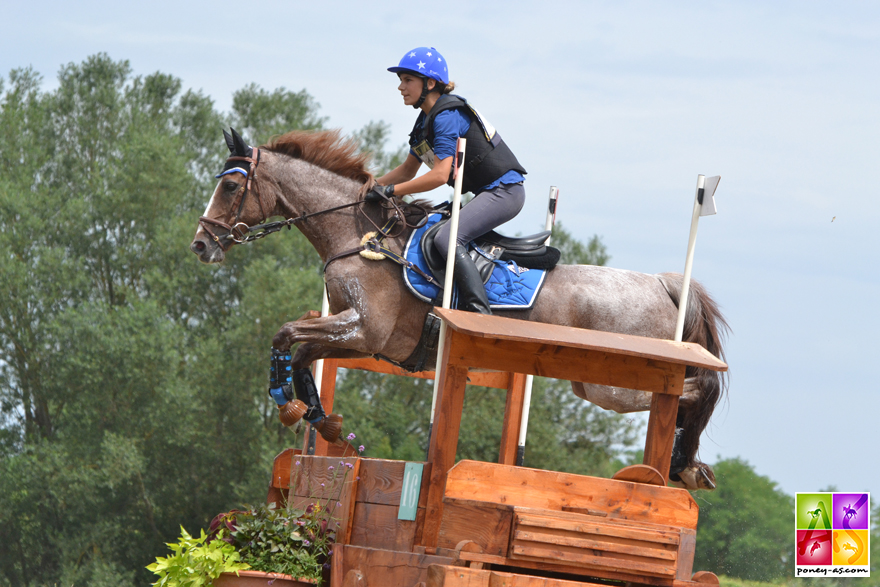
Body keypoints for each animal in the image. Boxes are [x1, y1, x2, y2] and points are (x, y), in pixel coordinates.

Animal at [191, 129, 728, 492]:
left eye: (231, 187)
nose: (200, 244)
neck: (358, 236)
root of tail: (663, 286)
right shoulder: (355, 335)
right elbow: (302, 352)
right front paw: (322, 421)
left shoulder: (363, 329)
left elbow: (285, 334)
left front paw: (285, 401)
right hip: (597, 382)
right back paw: (684, 464)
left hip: (612, 384)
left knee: (697, 387)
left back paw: (683, 462)